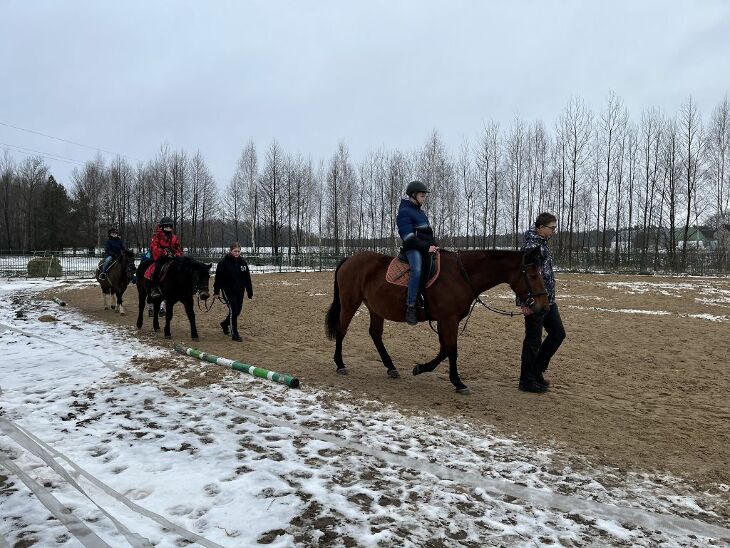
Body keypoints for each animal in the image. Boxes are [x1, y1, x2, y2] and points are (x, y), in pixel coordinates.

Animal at [324, 248, 544, 394]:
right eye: (533, 275)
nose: (544, 306)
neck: (461, 275)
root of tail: (350, 259)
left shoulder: (443, 320)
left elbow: (444, 350)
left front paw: (421, 368)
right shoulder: (449, 320)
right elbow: (452, 350)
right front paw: (458, 382)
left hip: (375, 308)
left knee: (375, 334)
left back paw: (391, 367)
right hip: (350, 304)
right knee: (342, 330)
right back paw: (340, 363)